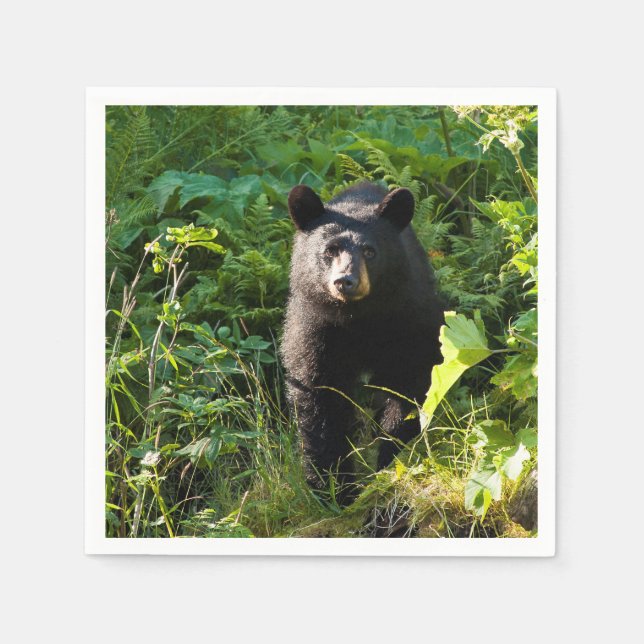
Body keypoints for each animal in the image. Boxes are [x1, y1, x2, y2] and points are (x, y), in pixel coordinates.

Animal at [280, 181, 444, 500]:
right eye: (329, 250)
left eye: (370, 251)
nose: (345, 281)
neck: (358, 318)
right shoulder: (315, 329)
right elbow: (319, 396)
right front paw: (333, 487)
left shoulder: (409, 318)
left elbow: (410, 382)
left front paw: (390, 458)